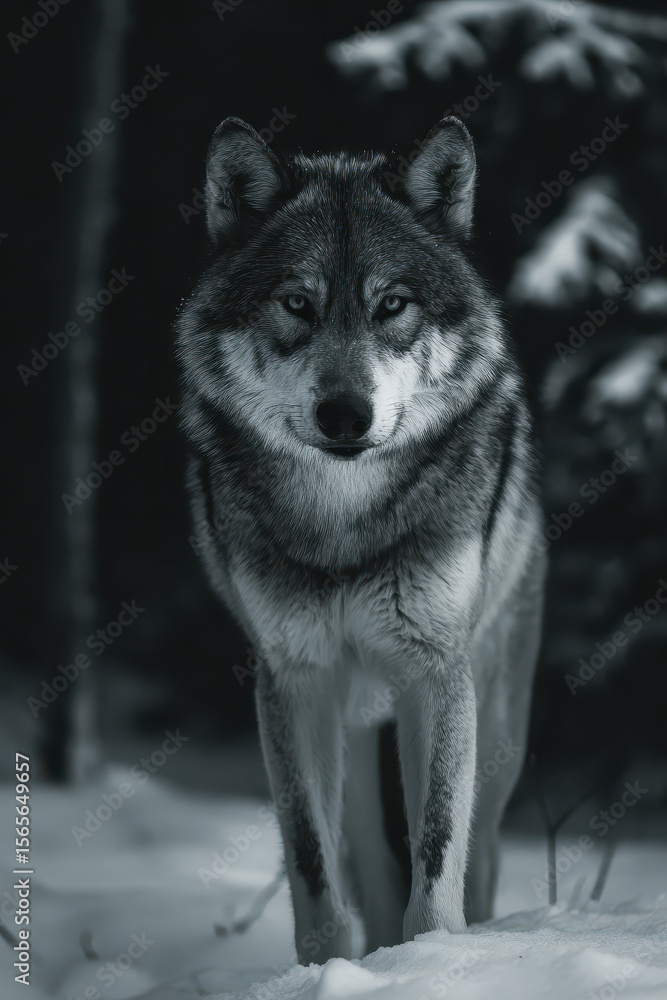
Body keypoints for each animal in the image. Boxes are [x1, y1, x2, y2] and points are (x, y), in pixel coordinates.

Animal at [176, 116, 545, 963]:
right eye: (297, 304)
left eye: (392, 305)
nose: (345, 415)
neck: (343, 528)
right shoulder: (293, 682)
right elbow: (310, 859)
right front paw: (327, 969)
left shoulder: (435, 672)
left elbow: (437, 845)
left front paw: (434, 957)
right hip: (352, 720)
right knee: (368, 864)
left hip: (495, 729)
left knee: (479, 853)